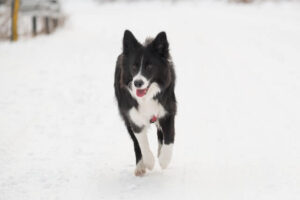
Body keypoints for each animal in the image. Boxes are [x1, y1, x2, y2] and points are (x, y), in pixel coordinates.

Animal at [114, 30, 176, 177]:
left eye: (149, 67)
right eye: (134, 66)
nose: (137, 83)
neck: (147, 97)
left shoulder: (168, 110)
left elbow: (169, 137)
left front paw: (164, 160)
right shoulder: (133, 116)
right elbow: (141, 142)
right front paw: (149, 162)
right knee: (136, 143)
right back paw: (140, 166)